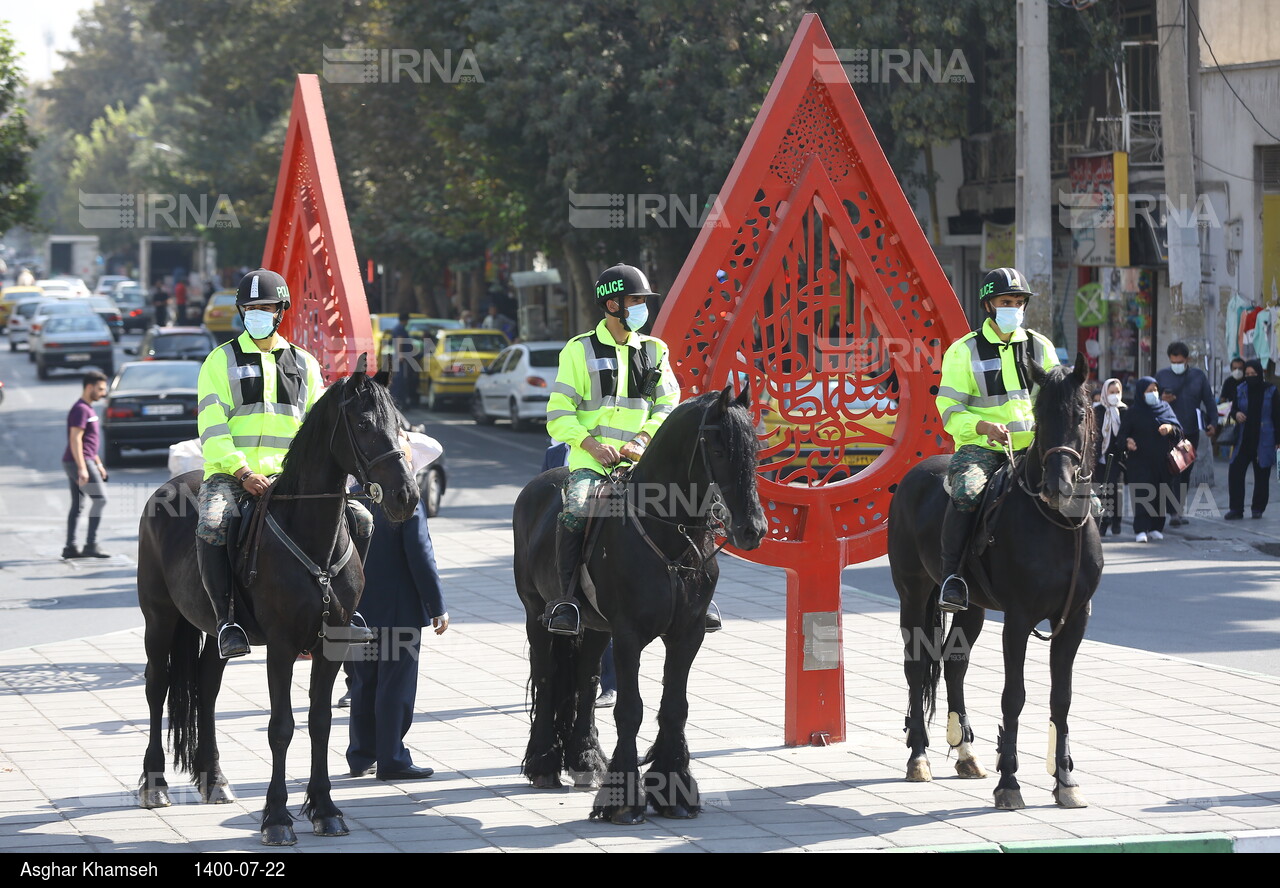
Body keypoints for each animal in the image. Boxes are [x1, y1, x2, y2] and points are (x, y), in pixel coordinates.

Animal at [139, 360, 419, 849]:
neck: (312, 535)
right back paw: (154, 785)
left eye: (400, 425)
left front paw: (324, 809)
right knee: (157, 686)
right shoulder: (283, 647)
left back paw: (214, 778)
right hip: (159, 620)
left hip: (216, 633)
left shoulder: (332, 644)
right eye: (364, 425)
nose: (407, 496)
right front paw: (276, 817)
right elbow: (281, 727)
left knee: (207, 689)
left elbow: (320, 721)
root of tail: (170, 486)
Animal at [514, 388, 762, 829]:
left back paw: (584, 759)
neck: (668, 533)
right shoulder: (628, 636)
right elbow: (630, 710)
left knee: (585, 680)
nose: (752, 529)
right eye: (718, 447)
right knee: (546, 676)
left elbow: (675, 707)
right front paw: (623, 801)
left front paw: (675, 791)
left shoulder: (687, 634)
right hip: (536, 613)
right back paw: (543, 765)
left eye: (755, 447)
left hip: (595, 628)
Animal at [890, 355, 1100, 813]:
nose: (1059, 486)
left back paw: (966, 754)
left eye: (1079, 414)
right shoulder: (1018, 621)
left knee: (954, 665)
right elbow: (1013, 696)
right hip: (912, 593)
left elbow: (1062, 697)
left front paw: (1066, 781)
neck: (1057, 525)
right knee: (916, 667)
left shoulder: (1075, 620)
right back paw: (918, 757)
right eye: (1040, 414)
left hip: (973, 607)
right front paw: (1010, 783)